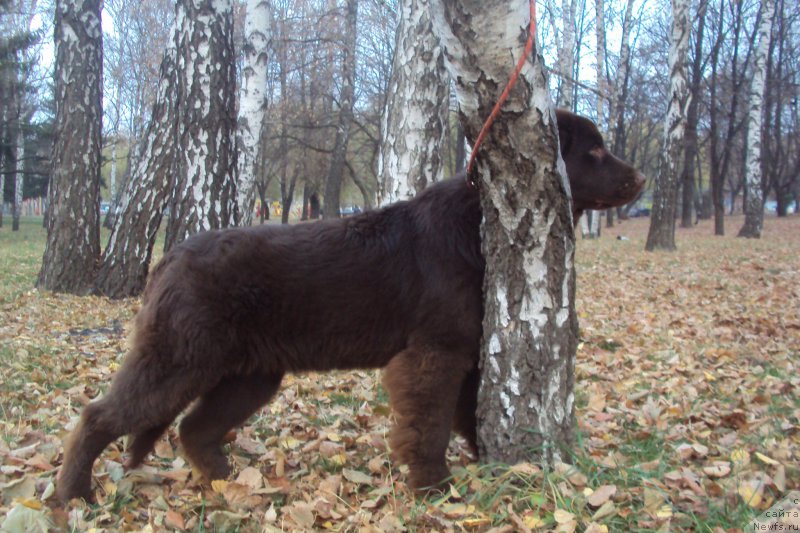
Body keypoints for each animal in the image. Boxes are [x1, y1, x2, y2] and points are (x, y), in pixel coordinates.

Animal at [56, 110, 644, 500]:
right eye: (593, 152)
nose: (640, 176)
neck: (474, 226)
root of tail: (168, 257)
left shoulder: (468, 351)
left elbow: (468, 414)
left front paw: (489, 467)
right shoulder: (436, 351)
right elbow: (429, 424)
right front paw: (434, 489)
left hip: (248, 375)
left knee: (192, 428)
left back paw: (229, 486)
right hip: (179, 356)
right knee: (99, 415)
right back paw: (72, 495)